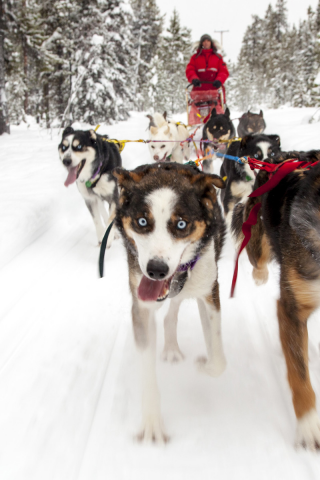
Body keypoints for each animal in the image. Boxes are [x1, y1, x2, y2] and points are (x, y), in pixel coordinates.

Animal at [112, 162, 228, 442]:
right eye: (142, 221)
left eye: (181, 224)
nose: (156, 270)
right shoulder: (142, 307)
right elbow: (147, 372)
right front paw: (152, 423)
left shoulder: (209, 292)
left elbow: (218, 360)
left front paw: (203, 365)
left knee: (174, 308)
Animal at [231, 151, 320, 450]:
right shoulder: (292, 309)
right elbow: (300, 376)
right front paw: (309, 426)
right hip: (258, 239)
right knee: (255, 256)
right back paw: (259, 275)